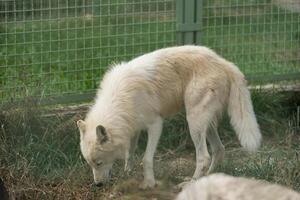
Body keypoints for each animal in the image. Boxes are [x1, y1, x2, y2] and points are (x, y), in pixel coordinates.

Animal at [76, 46, 262, 188]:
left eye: (99, 162)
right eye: (90, 163)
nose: (98, 184)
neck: (120, 99)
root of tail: (225, 63)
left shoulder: (155, 124)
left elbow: (146, 159)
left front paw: (149, 184)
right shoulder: (132, 128)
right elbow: (130, 153)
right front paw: (127, 174)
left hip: (193, 122)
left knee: (204, 157)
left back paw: (191, 183)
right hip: (205, 125)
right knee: (219, 149)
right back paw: (209, 179)